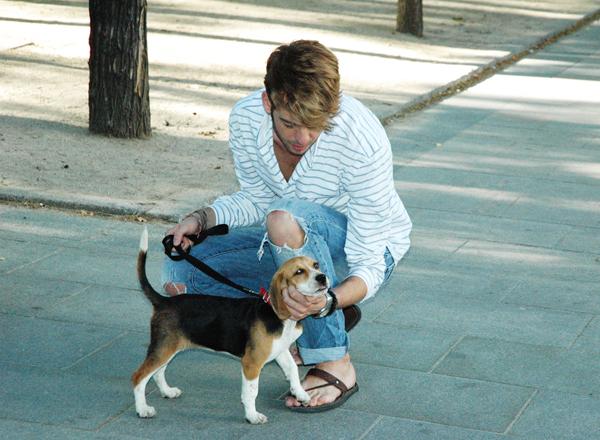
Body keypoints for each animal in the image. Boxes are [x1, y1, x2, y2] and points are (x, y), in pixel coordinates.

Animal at [132, 227, 328, 422]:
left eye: (316, 265)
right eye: (299, 272)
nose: (322, 277)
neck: (279, 316)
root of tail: (163, 301)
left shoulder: (280, 350)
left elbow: (292, 369)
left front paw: (300, 393)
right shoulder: (251, 363)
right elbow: (251, 392)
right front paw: (252, 416)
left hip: (169, 348)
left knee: (158, 372)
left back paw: (167, 391)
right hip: (163, 348)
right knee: (139, 377)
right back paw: (143, 409)